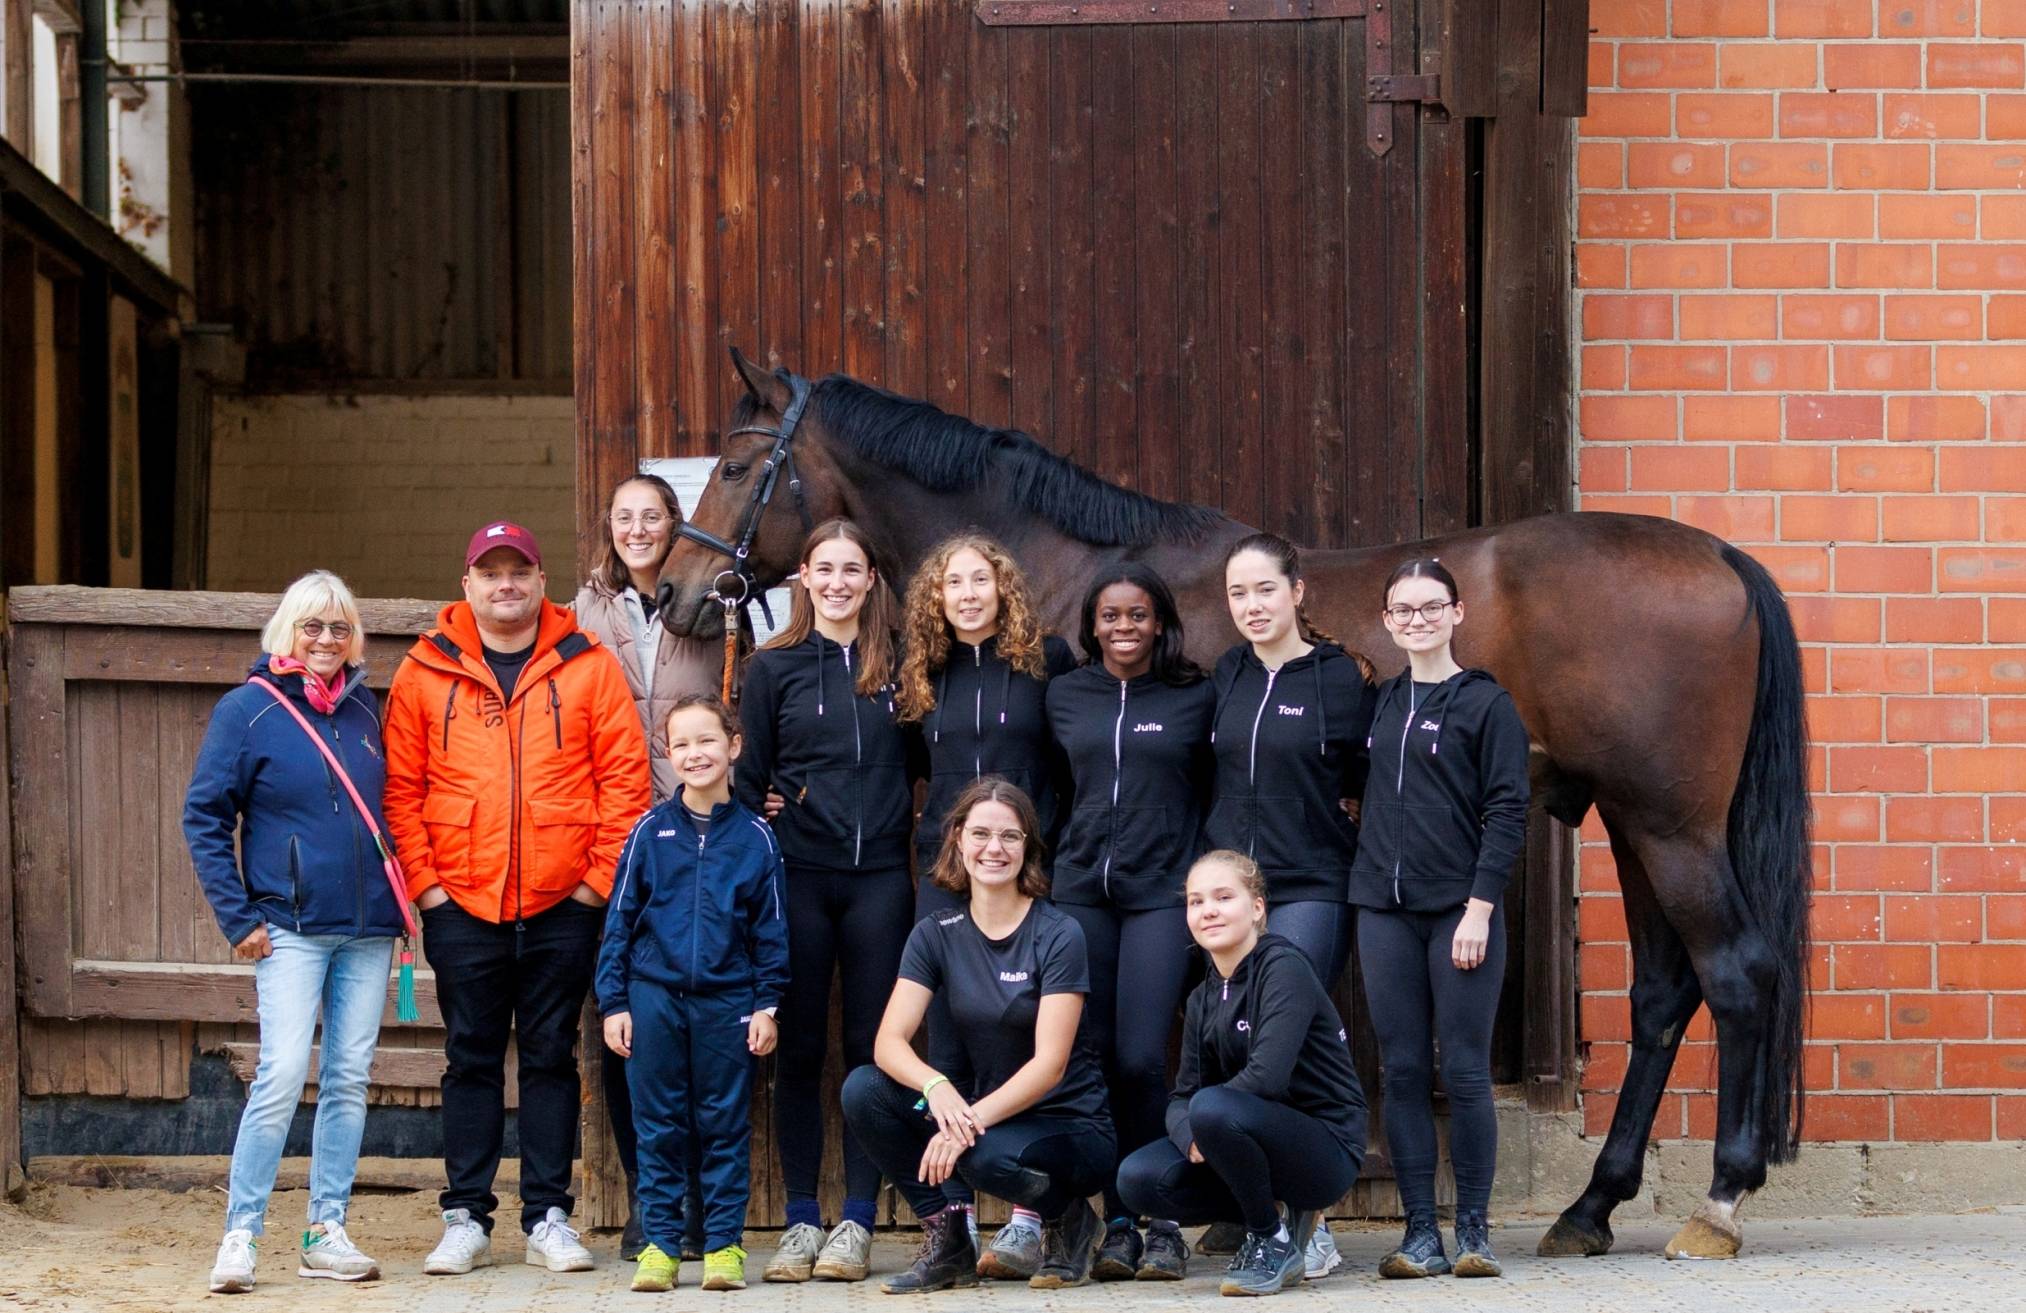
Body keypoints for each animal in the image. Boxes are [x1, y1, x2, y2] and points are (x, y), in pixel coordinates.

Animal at [656, 348, 1812, 1262]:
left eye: (740, 467)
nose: (672, 591)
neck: (1077, 576)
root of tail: (1718, 555)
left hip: (1670, 826)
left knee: (1736, 973)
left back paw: (1719, 1199)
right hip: (1634, 823)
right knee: (1664, 994)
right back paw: (1593, 1205)